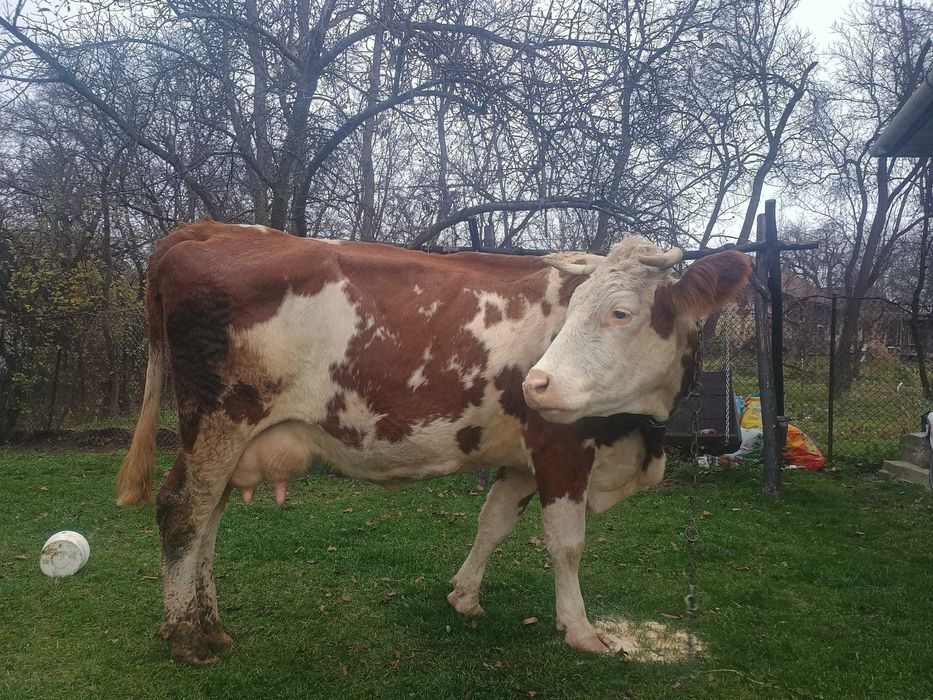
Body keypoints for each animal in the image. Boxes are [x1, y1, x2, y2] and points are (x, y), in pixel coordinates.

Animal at [115, 220, 751, 664]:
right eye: (580, 309)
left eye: (621, 312)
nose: (537, 384)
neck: (643, 433)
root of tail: (209, 229)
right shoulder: (561, 450)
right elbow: (567, 544)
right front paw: (580, 630)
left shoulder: (521, 461)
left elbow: (493, 522)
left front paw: (464, 595)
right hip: (219, 419)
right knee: (183, 512)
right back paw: (186, 639)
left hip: (227, 436)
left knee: (208, 521)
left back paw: (209, 626)